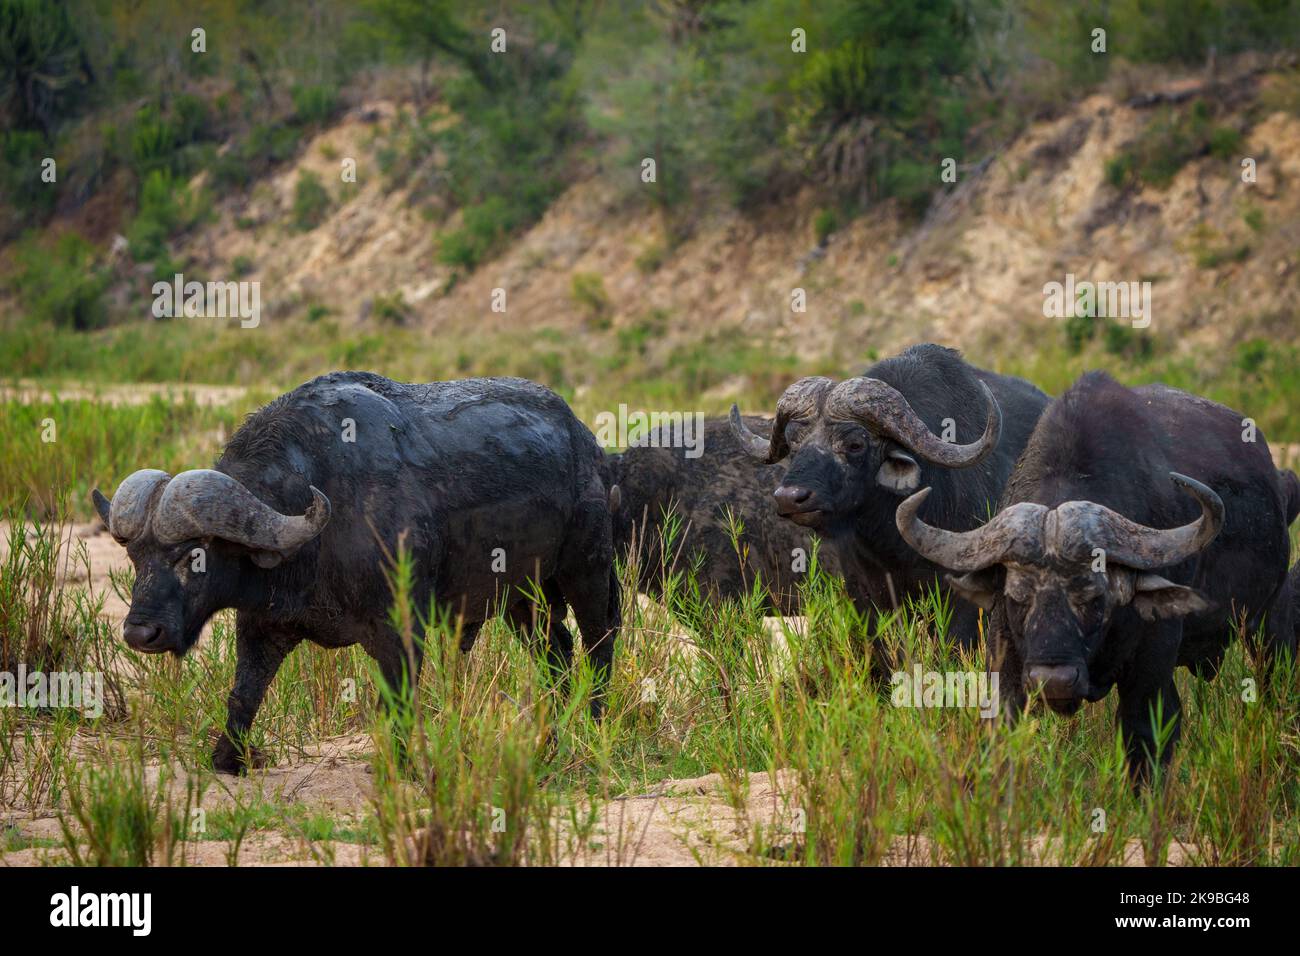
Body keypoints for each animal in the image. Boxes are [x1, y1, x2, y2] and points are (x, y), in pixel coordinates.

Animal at [93, 371, 619, 774]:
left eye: (193, 556)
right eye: (136, 556)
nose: (141, 633)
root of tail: (587, 443)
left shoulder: (401, 630)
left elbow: (399, 703)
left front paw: (404, 767)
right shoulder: (263, 627)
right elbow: (243, 694)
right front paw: (231, 757)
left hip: (587, 568)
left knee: (599, 644)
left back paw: (595, 727)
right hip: (521, 599)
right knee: (557, 654)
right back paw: (550, 740)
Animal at [896, 371, 1298, 778]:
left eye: (1094, 597)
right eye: (1017, 597)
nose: (1053, 681)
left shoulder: (1151, 666)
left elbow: (1145, 738)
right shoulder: (1004, 658)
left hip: (1267, 630)